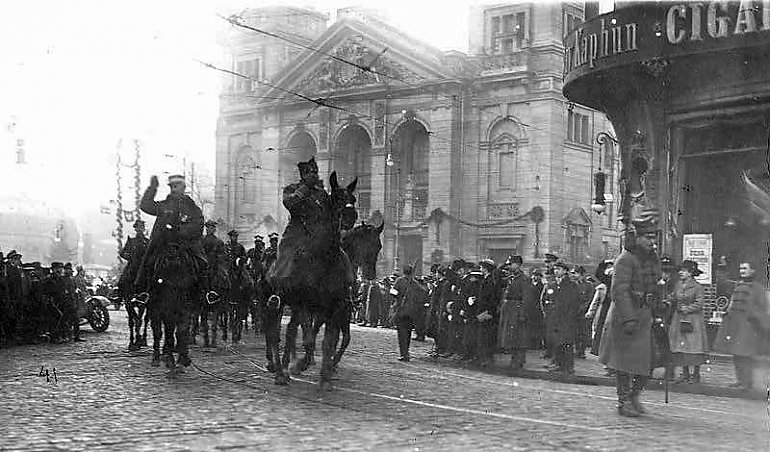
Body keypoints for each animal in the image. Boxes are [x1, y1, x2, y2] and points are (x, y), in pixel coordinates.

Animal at [264, 171, 356, 390]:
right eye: (336, 198)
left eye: (353, 198)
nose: (351, 215)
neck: (326, 262)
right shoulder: (304, 304)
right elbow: (309, 341)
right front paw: (300, 365)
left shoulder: (335, 307)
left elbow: (327, 343)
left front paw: (325, 378)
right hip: (277, 303)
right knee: (274, 335)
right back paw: (279, 372)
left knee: (290, 333)